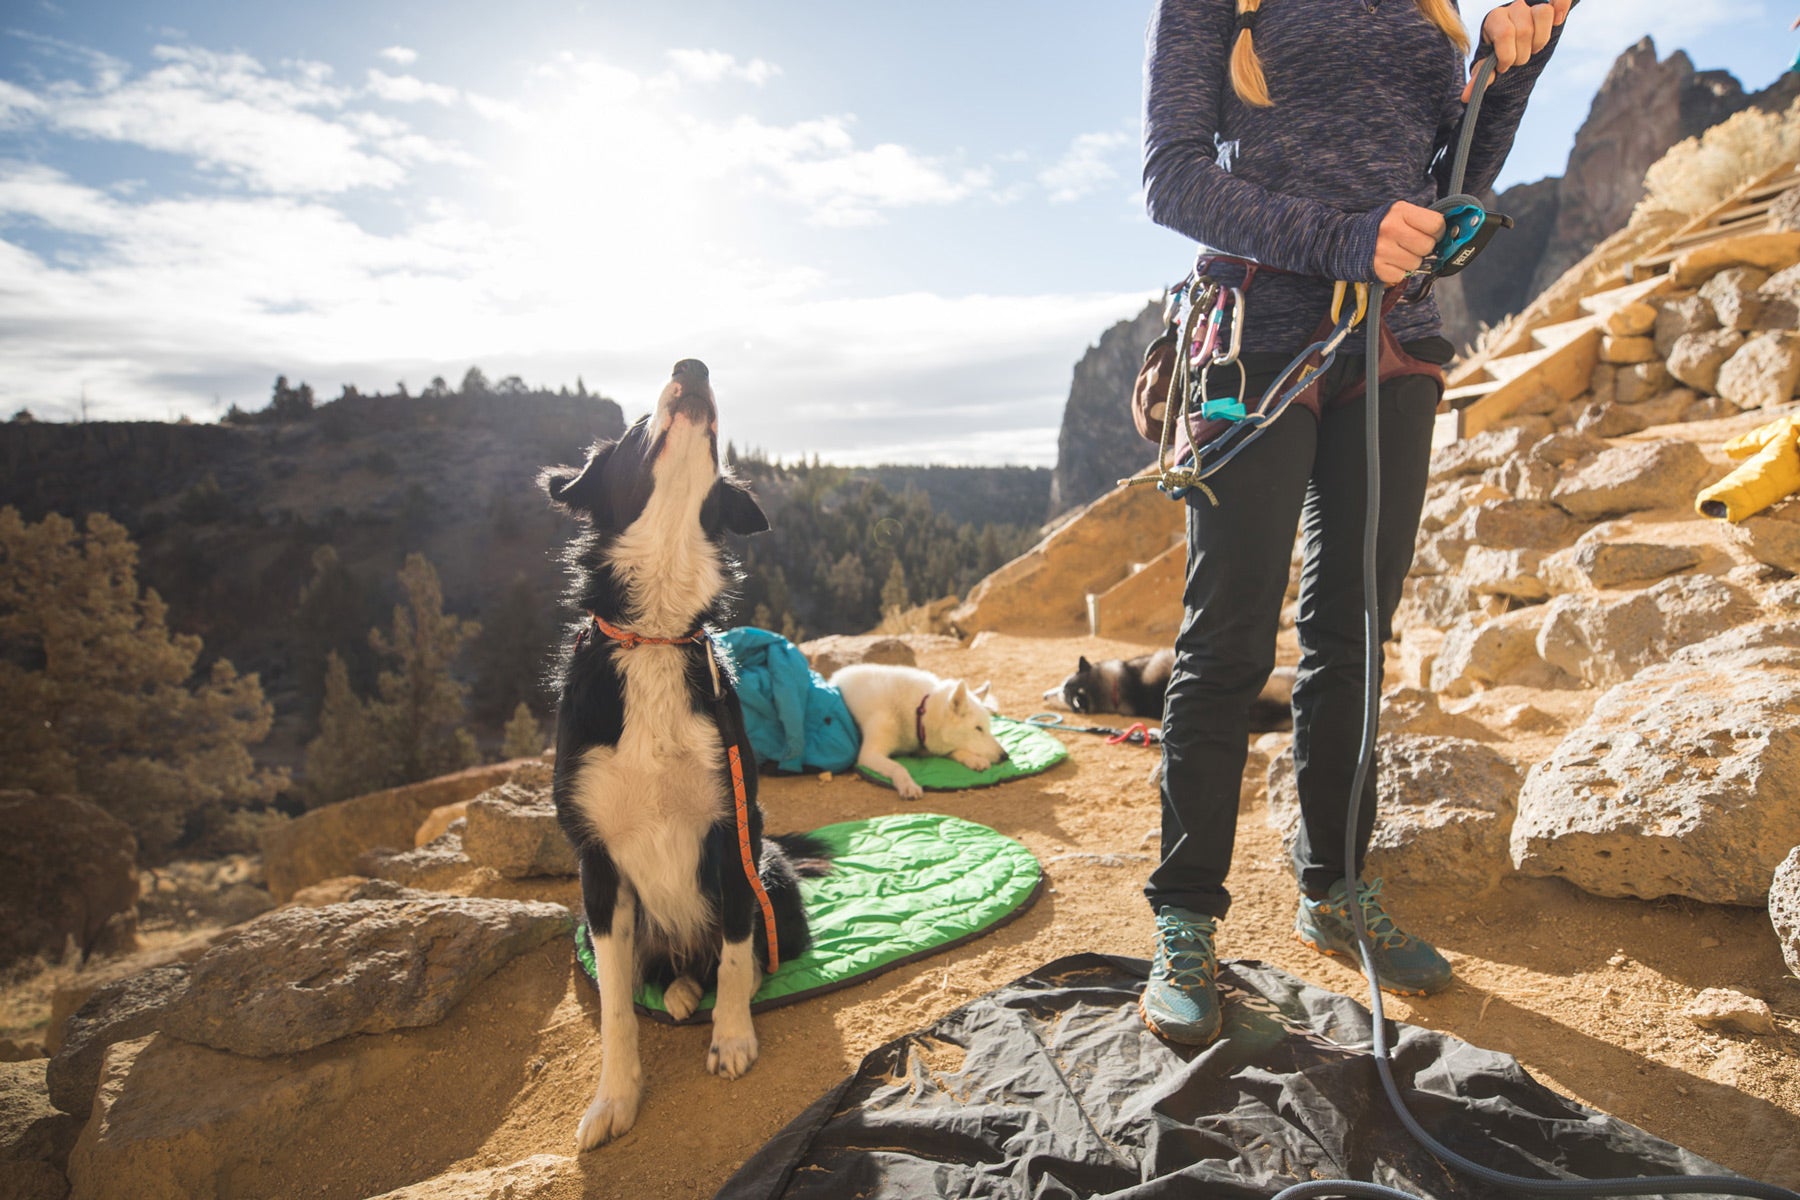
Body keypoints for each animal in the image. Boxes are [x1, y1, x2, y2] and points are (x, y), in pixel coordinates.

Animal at [831, 662, 1008, 802]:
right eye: (978, 728)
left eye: (988, 728)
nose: (1005, 756)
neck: (918, 712)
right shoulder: (869, 754)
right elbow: (898, 767)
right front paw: (908, 785)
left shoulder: (924, 744)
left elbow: (952, 750)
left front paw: (974, 759)